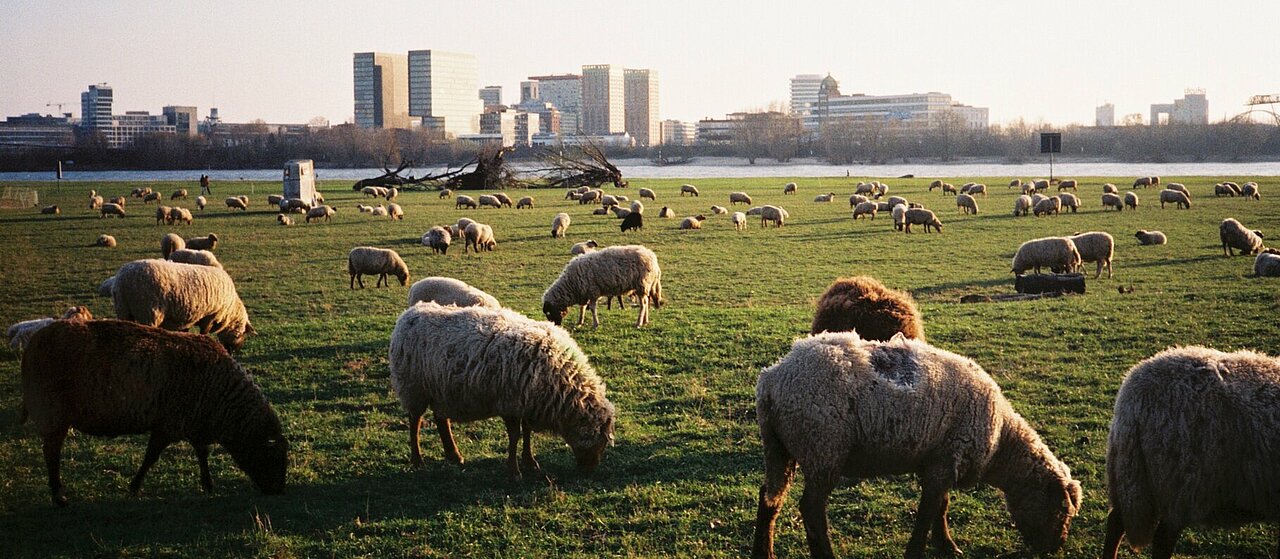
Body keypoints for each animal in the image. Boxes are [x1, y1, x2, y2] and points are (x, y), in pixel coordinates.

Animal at [20, 319, 287, 506]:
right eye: (273, 457)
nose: (278, 491)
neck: (221, 398)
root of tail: (34, 343)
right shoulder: (168, 425)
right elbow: (151, 457)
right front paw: (134, 487)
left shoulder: (195, 423)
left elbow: (202, 453)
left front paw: (208, 485)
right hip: (53, 412)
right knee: (51, 454)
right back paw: (59, 496)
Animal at [112, 259, 253, 351]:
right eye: (241, 334)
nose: (233, 351)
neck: (230, 309)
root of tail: (123, 280)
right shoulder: (210, 316)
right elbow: (204, 333)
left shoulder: (188, 317)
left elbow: (185, 331)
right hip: (148, 311)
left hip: (123, 309)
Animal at [389, 302, 615, 478]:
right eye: (600, 442)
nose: (589, 471)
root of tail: (409, 313)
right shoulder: (510, 402)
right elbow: (515, 435)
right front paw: (514, 471)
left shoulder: (525, 401)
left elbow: (527, 431)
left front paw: (529, 461)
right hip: (414, 387)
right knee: (415, 422)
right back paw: (418, 460)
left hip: (440, 389)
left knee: (440, 419)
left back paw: (454, 455)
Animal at [754, 333, 1082, 559]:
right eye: (1061, 509)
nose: (1056, 547)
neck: (1002, 441)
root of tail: (772, 380)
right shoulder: (946, 459)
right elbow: (928, 511)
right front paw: (922, 549)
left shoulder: (940, 458)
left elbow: (941, 505)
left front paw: (946, 545)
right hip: (823, 448)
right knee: (811, 508)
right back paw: (825, 554)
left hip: (780, 449)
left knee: (769, 497)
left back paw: (763, 552)